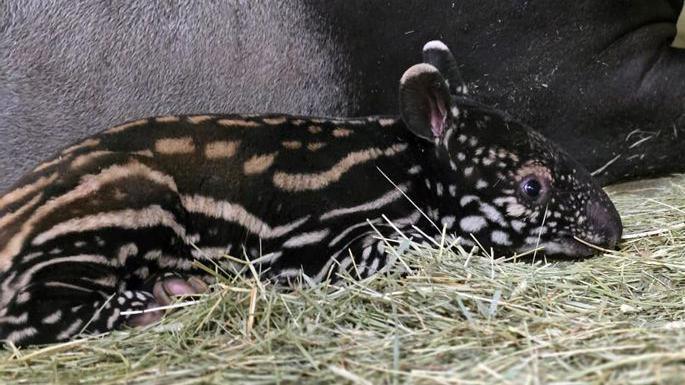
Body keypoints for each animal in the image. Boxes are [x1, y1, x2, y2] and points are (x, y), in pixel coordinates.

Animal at [0, 42, 620, 344]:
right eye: (531, 186)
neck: (402, 169)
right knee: (29, 315)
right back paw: (156, 301)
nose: (613, 231)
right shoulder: (335, 244)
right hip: (117, 211)